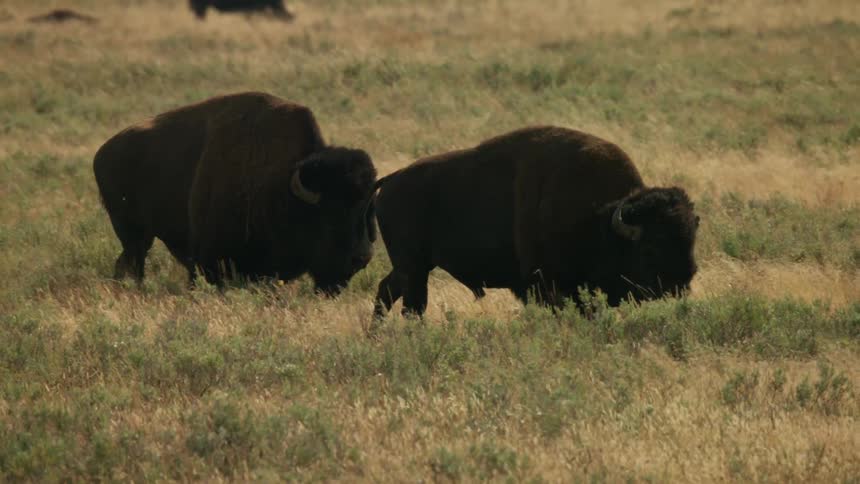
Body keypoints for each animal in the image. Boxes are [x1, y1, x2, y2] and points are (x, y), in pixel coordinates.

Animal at [93, 92, 377, 293]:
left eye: (366, 210)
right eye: (332, 216)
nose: (361, 258)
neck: (283, 185)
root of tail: (103, 153)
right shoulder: (209, 258)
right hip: (133, 233)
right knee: (135, 263)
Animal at [373, 126, 699, 316]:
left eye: (690, 242)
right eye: (651, 248)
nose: (681, 284)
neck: (601, 219)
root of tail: (390, 181)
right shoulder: (547, 285)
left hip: (414, 266)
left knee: (387, 292)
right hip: (413, 266)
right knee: (412, 306)